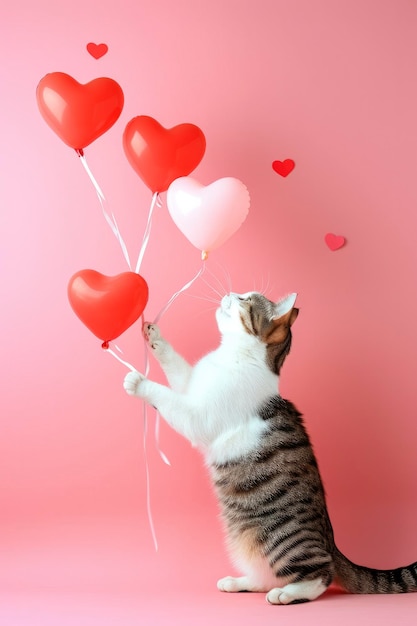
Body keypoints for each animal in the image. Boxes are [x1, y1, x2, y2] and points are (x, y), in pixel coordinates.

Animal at [122, 290, 416, 604]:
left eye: (246, 299)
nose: (231, 293)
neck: (232, 356)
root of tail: (331, 543)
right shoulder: (191, 385)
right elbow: (176, 368)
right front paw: (155, 335)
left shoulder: (198, 417)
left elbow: (166, 397)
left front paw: (138, 382)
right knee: (266, 575)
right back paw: (239, 582)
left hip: (282, 540)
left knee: (319, 575)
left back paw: (287, 594)